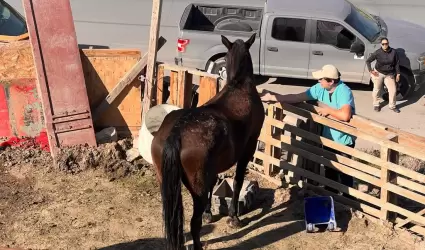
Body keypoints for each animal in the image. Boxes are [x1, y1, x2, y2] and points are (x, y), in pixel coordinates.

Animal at [152, 33, 264, 250]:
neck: (238, 86)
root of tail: (176, 133)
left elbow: (214, 183)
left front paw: (209, 213)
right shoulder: (248, 148)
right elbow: (237, 181)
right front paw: (234, 217)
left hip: (166, 183)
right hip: (196, 189)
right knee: (193, 223)